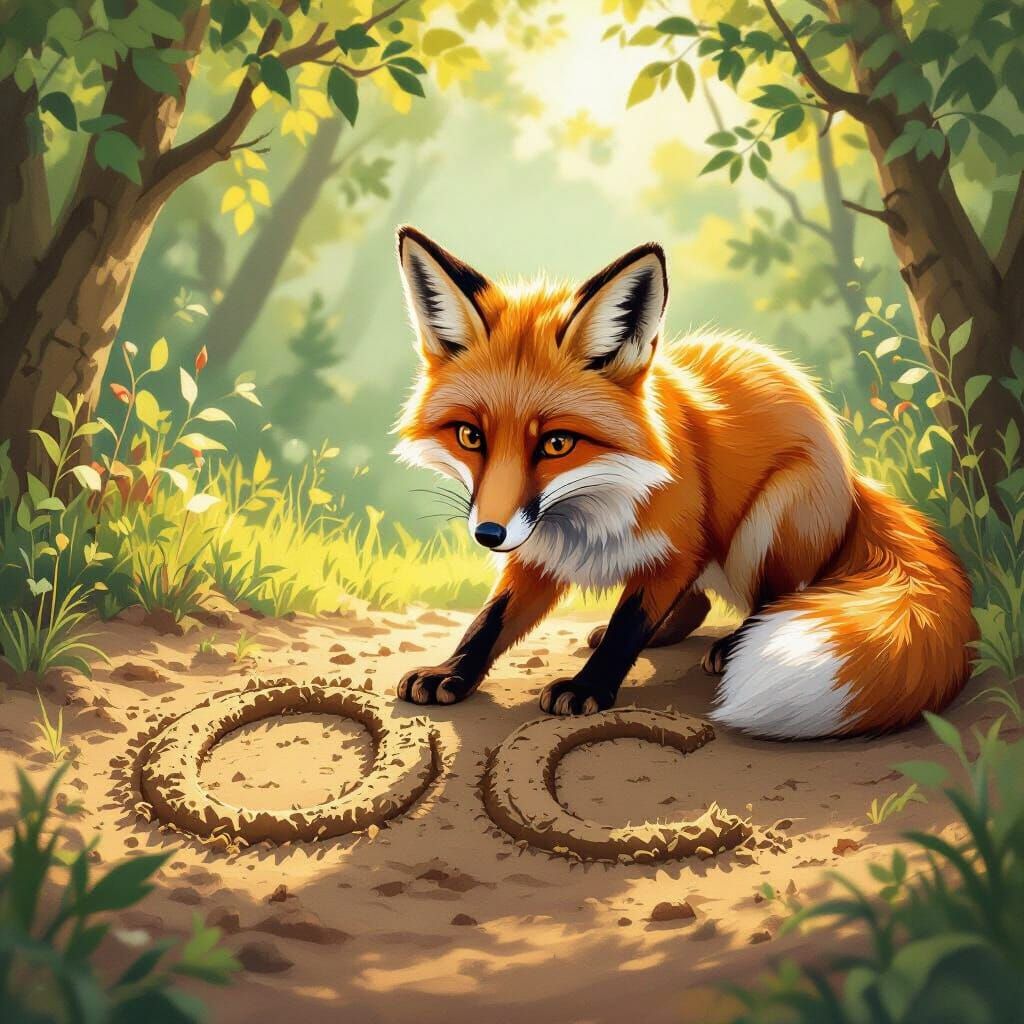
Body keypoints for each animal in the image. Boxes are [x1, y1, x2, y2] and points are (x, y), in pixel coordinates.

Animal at [391, 225, 976, 739]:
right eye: (470, 436)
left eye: (556, 443)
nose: (488, 535)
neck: (592, 508)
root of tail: (855, 480)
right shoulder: (538, 553)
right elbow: (489, 621)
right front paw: (452, 671)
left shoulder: (678, 547)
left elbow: (628, 623)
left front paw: (588, 688)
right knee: (697, 605)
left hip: (764, 527)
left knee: (774, 597)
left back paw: (733, 646)